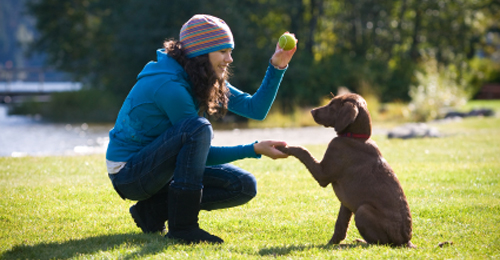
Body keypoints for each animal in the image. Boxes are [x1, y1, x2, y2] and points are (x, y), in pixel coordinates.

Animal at [278, 93, 414, 248]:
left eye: (332, 105)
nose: (312, 111)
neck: (356, 137)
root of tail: (406, 241)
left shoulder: (323, 174)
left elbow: (303, 150)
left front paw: (284, 147)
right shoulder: (346, 202)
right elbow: (340, 225)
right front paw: (332, 243)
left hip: (362, 210)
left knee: (380, 243)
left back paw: (360, 242)